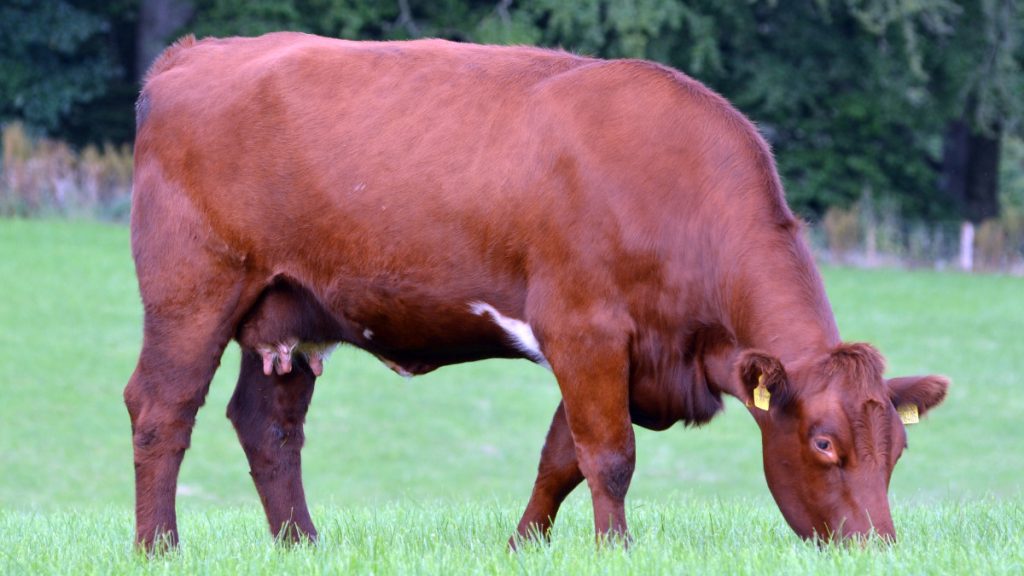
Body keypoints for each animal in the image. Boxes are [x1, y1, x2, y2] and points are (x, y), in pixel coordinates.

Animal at [125, 32, 949, 550]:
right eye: (824, 443)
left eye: (900, 449)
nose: (878, 548)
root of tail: (196, 54)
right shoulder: (582, 329)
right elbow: (608, 456)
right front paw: (616, 551)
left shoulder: (615, 355)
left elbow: (561, 457)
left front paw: (524, 545)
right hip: (191, 291)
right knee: (161, 409)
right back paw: (160, 547)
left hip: (291, 309)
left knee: (267, 423)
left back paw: (303, 544)